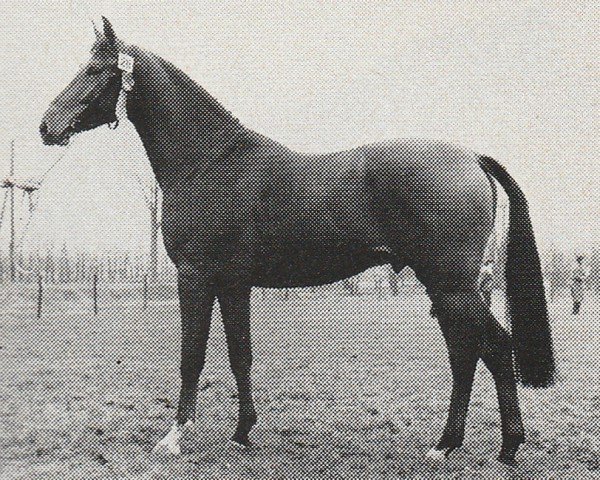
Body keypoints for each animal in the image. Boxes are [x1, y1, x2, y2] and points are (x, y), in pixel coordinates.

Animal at [38, 17, 552, 464]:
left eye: (95, 69)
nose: (47, 125)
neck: (210, 161)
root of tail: (472, 157)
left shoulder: (196, 277)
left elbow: (192, 355)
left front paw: (175, 438)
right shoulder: (232, 283)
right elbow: (239, 354)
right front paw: (242, 433)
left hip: (453, 287)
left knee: (493, 348)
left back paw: (503, 447)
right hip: (448, 289)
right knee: (466, 354)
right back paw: (448, 445)